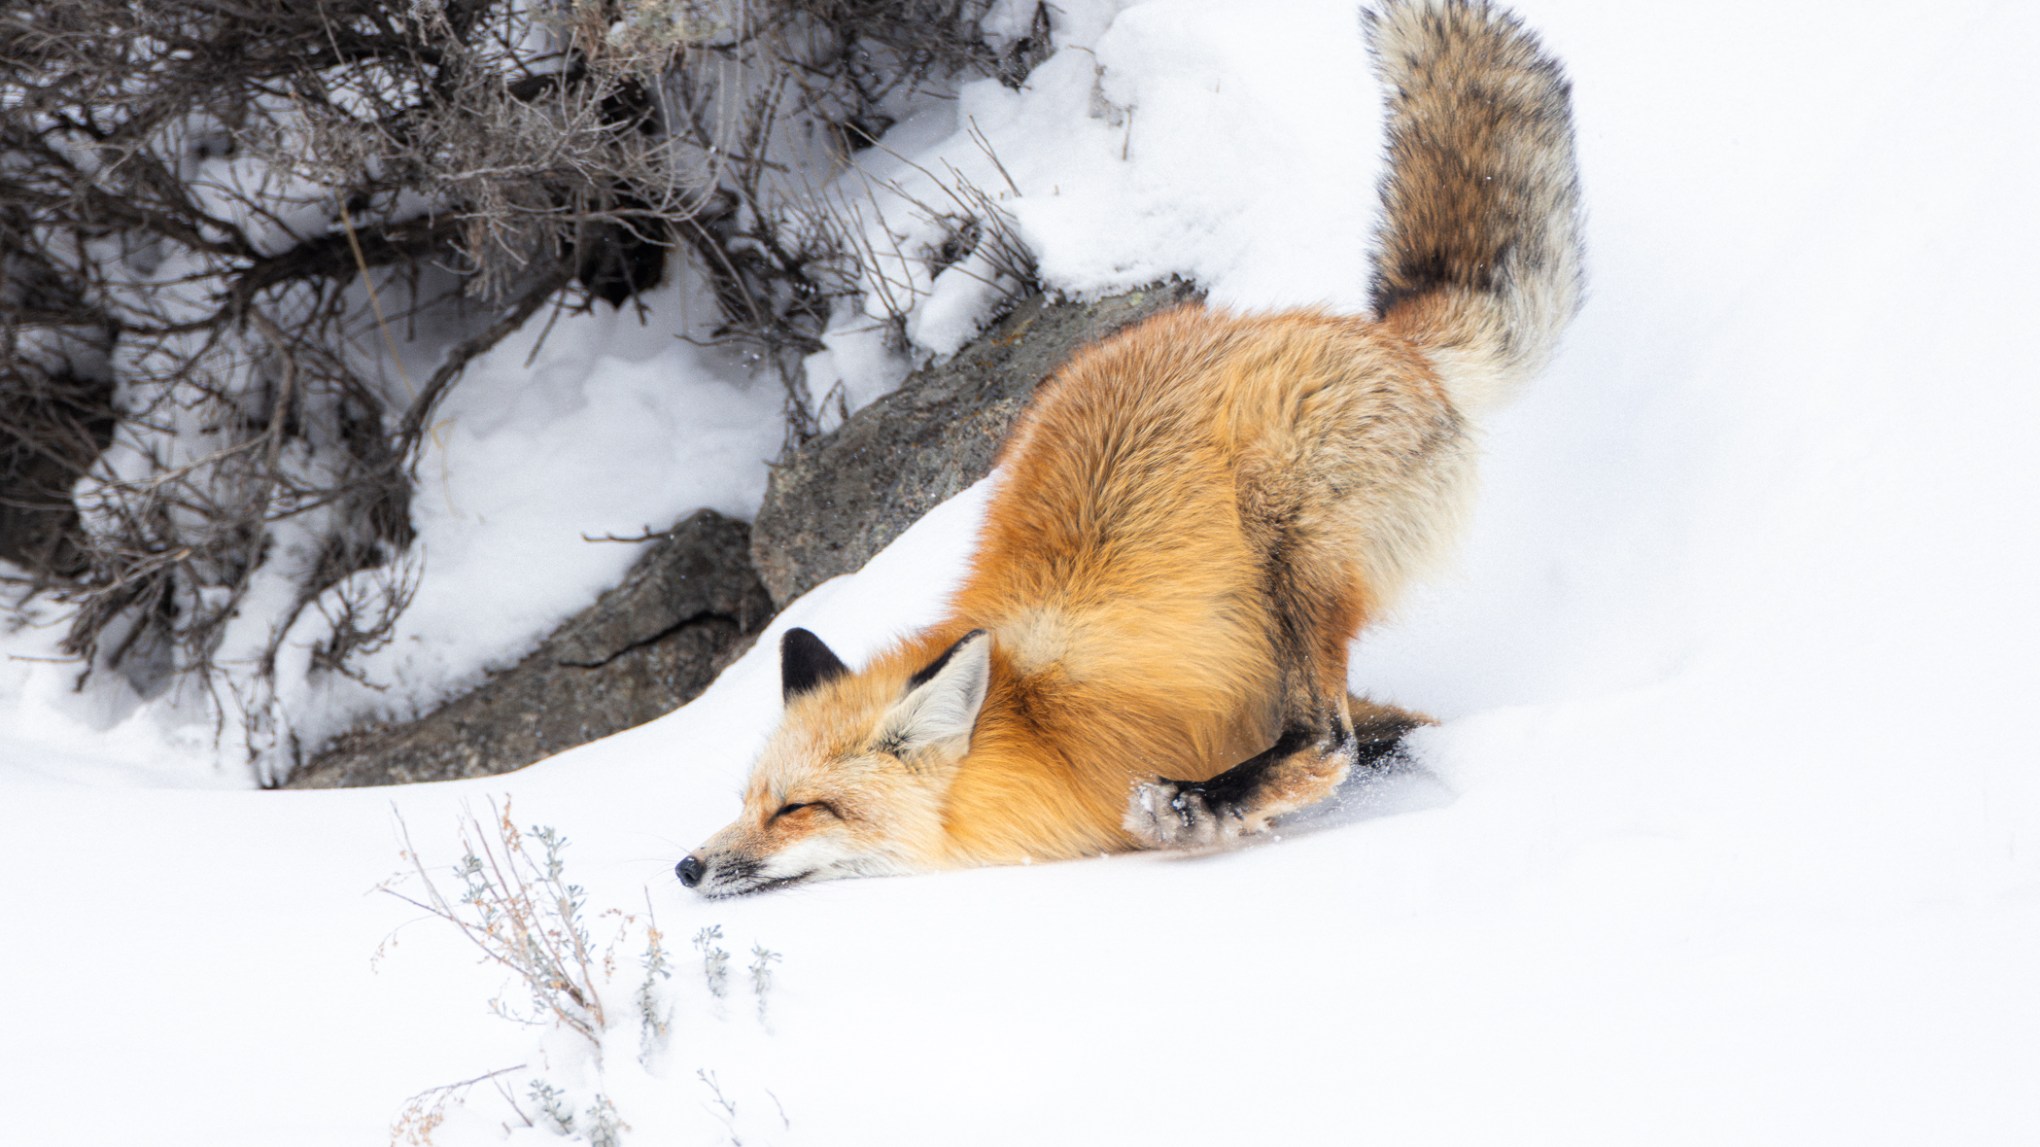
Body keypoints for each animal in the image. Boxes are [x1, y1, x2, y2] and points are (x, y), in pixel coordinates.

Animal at [676, 0, 1583, 897]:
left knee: (1326, 739)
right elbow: (1410, 728)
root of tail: (1384, 338)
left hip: (1288, 531)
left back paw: (1204, 804)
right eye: (750, 799)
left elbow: (1348, 744)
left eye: (800, 808)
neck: (1033, 721)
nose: (687, 864)